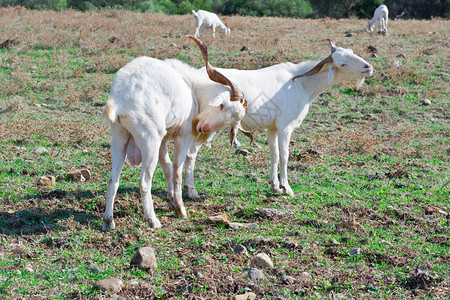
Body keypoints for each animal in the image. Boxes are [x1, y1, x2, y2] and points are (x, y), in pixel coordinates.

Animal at [102, 37, 246, 230]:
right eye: (223, 105)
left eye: (231, 121)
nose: (203, 128)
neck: (191, 87)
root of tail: (119, 97)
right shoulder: (182, 136)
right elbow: (177, 168)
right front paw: (180, 209)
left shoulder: (163, 140)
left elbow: (168, 167)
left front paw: (171, 201)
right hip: (150, 140)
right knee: (144, 182)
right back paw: (153, 220)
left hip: (120, 137)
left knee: (112, 179)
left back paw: (108, 221)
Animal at [183, 39, 372, 198]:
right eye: (342, 63)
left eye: (351, 52)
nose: (368, 67)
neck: (299, 83)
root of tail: (193, 79)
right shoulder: (285, 126)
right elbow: (284, 155)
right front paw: (287, 188)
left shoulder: (272, 127)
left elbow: (274, 154)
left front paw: (274, 186)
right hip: (206, 124)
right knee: (191, 153)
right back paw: (191, 191)